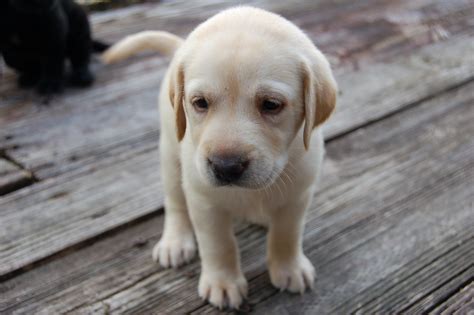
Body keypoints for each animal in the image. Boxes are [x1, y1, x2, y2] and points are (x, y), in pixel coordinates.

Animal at [103, 6, 336, 310]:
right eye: (200, 103)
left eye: (271, 105)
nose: (226, 167)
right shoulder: (205, 202)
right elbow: (219, 245)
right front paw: (223, 283)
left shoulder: (298, 196)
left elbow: (287, 234)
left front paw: (289, 268)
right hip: (170, 158)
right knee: (175, 203)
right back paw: (175, 241)